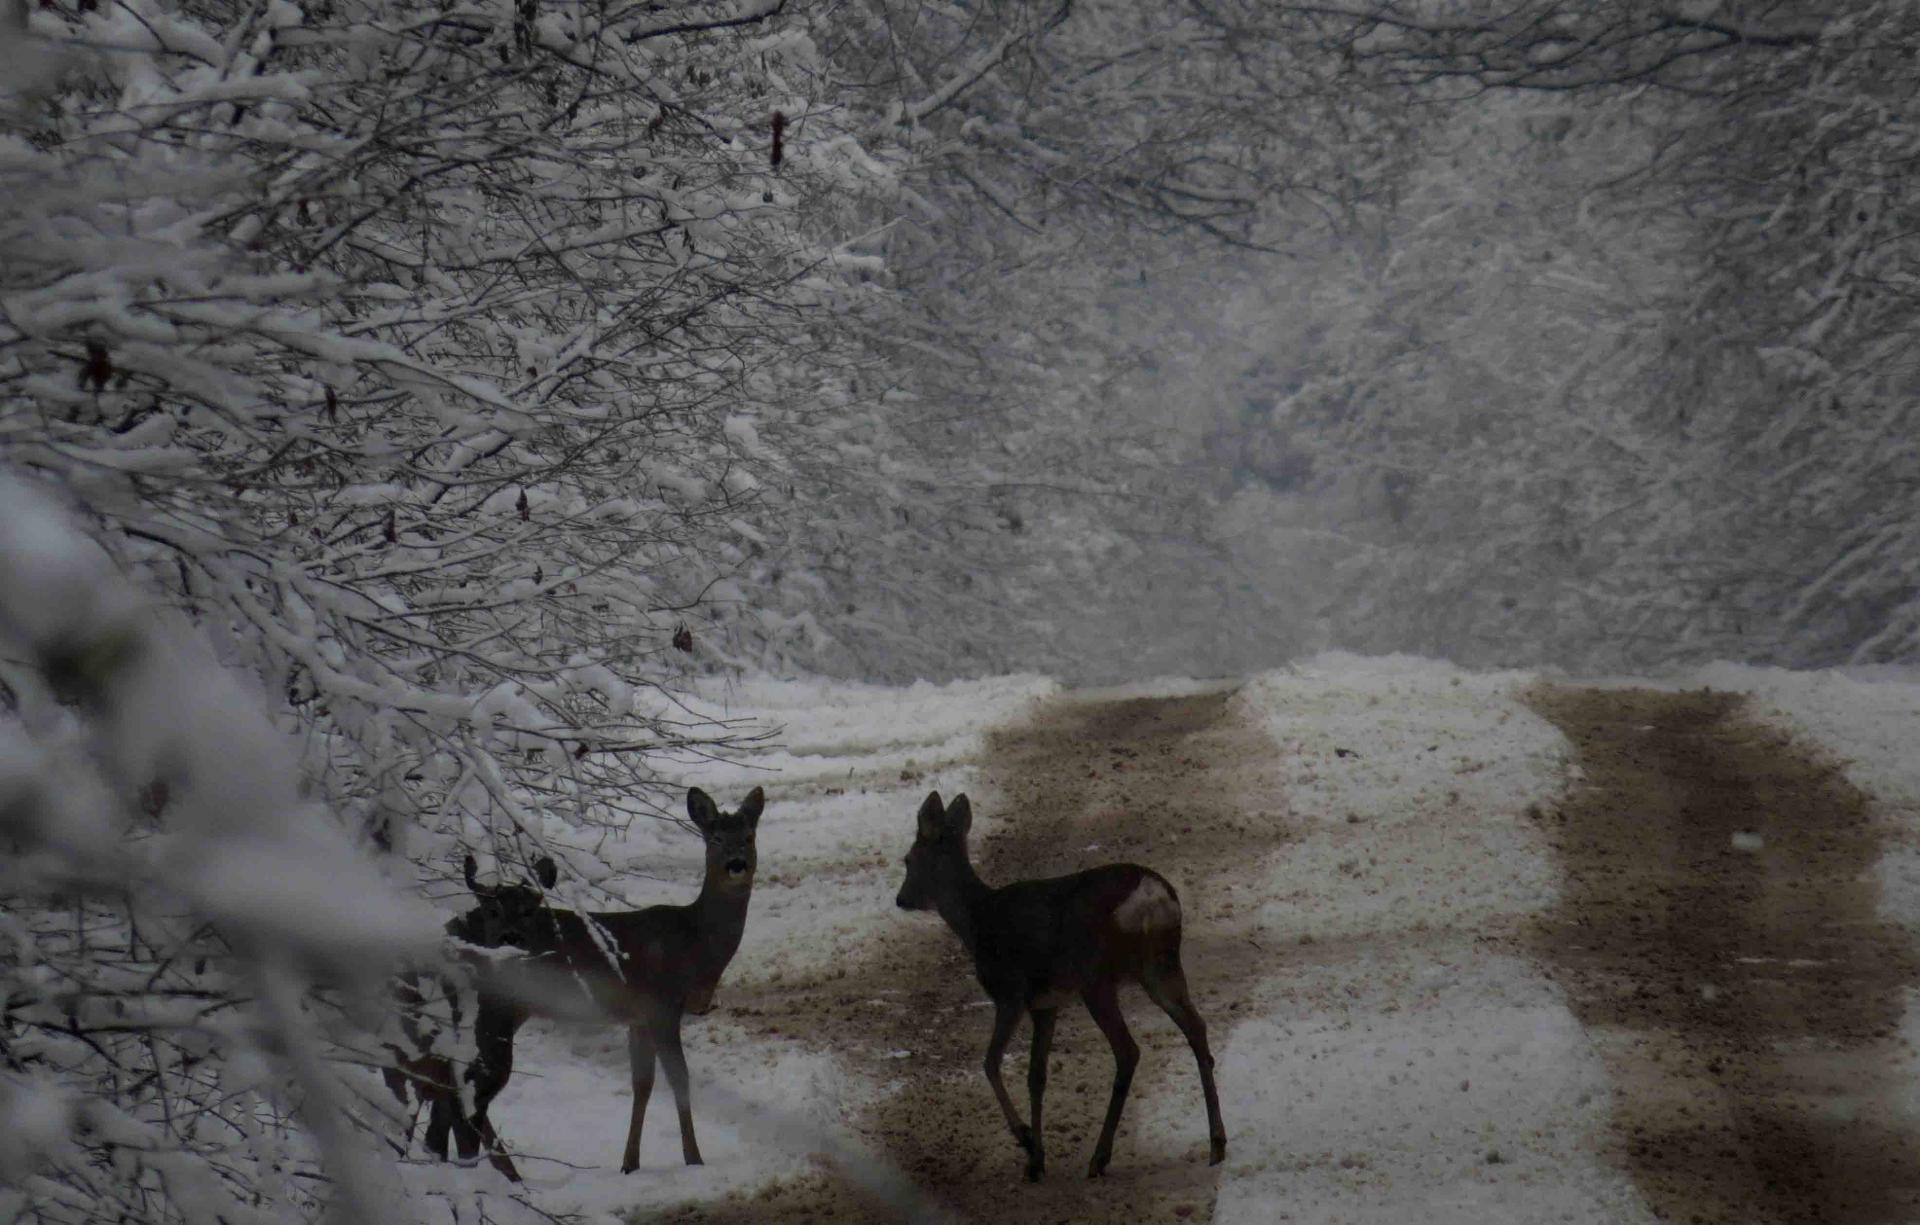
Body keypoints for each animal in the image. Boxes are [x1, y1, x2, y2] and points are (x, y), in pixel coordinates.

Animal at [445, 787, 760, 1182]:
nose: (737, 864)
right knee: (470, 1084)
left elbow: (643, 1085)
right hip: (494, 1007)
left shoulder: (638, 1018)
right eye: (715, 838)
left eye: (748, 837)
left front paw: (630, 1163)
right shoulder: (662, 1006)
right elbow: (680, 1080)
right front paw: (694, 1159)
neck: (694, 944)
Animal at [890, 791, 1221, 1182]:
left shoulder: (1011, 992)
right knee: (1196, 1029)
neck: (979, 922)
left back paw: (1099, 1158)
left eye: (909, 859)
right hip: (1161, 966)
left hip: (1097, 976)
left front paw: (1026, 1139)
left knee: (1128, 1050)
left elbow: (990, 1062)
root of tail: (1152, 897)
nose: (901, 899)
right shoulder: (1046, 1005)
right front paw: (1037, 1159)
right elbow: (1037, 1075)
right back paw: (1217, 1145)